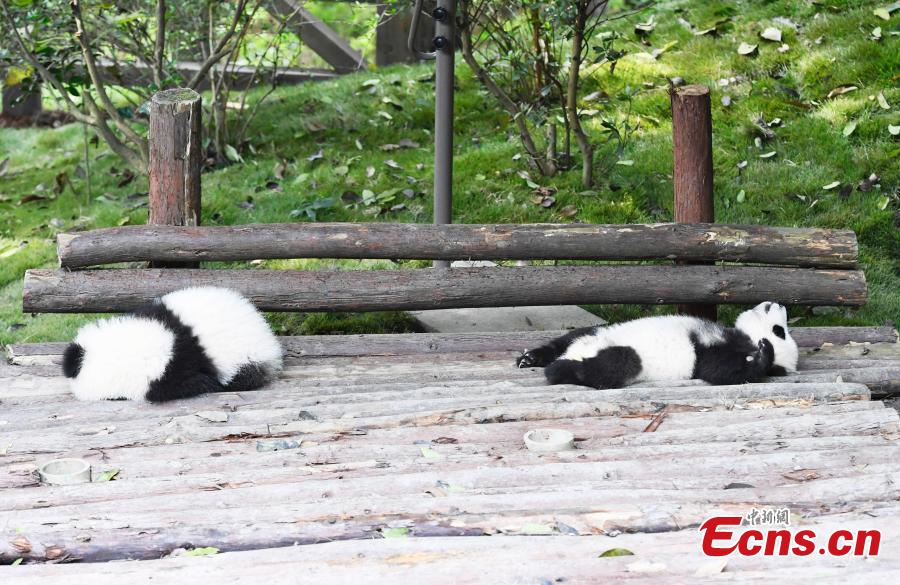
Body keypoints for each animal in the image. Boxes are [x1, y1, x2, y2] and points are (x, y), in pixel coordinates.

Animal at [516, 302, 800, 388]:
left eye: (780, 332)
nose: (778, 304)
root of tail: (578, 352)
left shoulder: (706, 357)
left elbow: (721, 372)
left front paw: (763, 354)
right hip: (599, 330)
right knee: (569, 338)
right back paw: (532, 357)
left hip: (630, 360)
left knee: (608, 367)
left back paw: (560, 368)